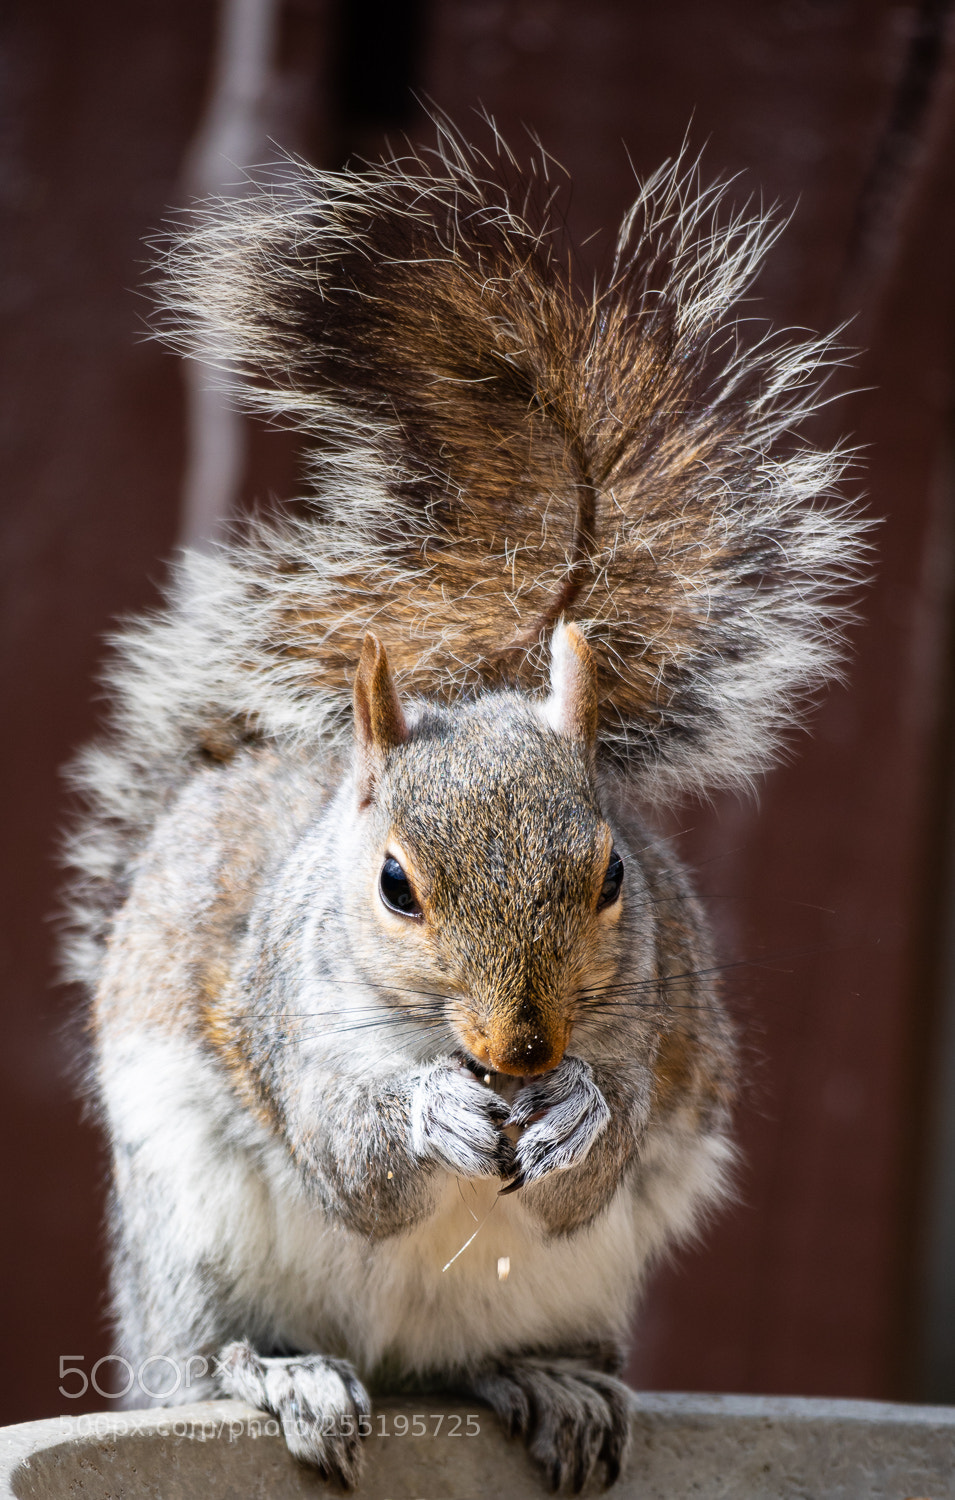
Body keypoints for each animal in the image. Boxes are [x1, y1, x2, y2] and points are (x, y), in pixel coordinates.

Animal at [63, 126, 864, 1492]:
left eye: (612, 876)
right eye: (393, 884)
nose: (523, 1053)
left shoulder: (651, 1032)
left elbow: (587, 1174)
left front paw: (579, 1111)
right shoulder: (283, 1014)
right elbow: (350, 1159)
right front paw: (425, 1110)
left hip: (570, 1293)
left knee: (477, 1365)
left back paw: (548, 1382)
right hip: (185, 1243)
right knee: (207, 1358)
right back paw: (282, 1375)